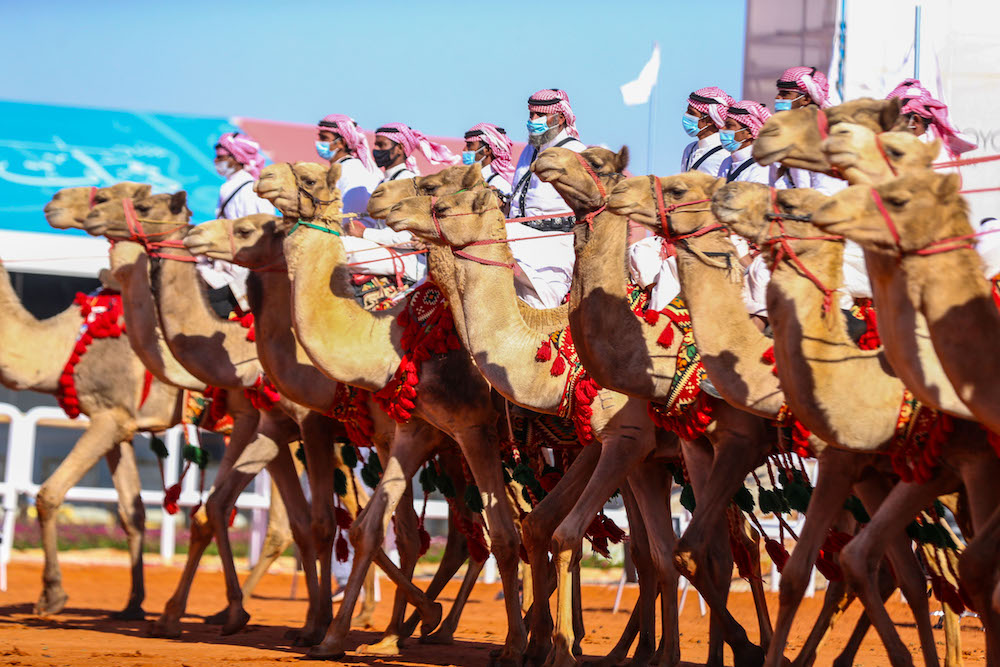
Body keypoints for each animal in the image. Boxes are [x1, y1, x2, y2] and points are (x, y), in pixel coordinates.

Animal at [5, 184, 184, 620]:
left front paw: (52, 596)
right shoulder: (118, 425)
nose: (53, 199)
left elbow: (49, 495)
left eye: (102, 195)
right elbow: (132, 512)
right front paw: (133, 605)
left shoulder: (109, 416)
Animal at [254, 163, 528, 667]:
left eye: (308, 178)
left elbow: (500, 533)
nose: (266, 176)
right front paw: (342, 638)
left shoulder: (472, 428)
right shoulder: (410, 432)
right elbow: (375, 526)